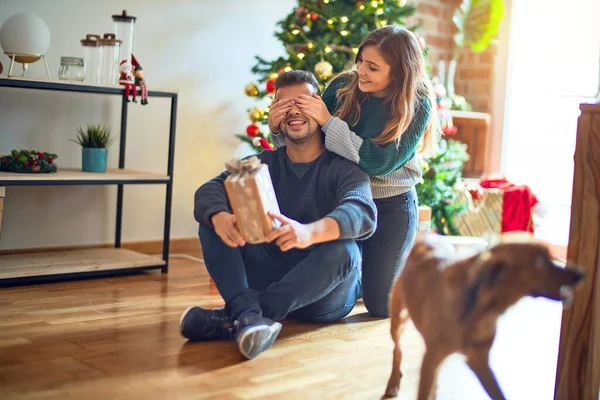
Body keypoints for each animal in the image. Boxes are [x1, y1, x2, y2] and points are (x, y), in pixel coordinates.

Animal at [384, 234, 580, 400]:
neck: (483, 310)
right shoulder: (432, 359)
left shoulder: (479, 361)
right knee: (397, 349)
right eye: (541, 262)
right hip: (399, 320)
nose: (580, 274)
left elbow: (499, 394)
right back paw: (393, 382)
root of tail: (426, 237)